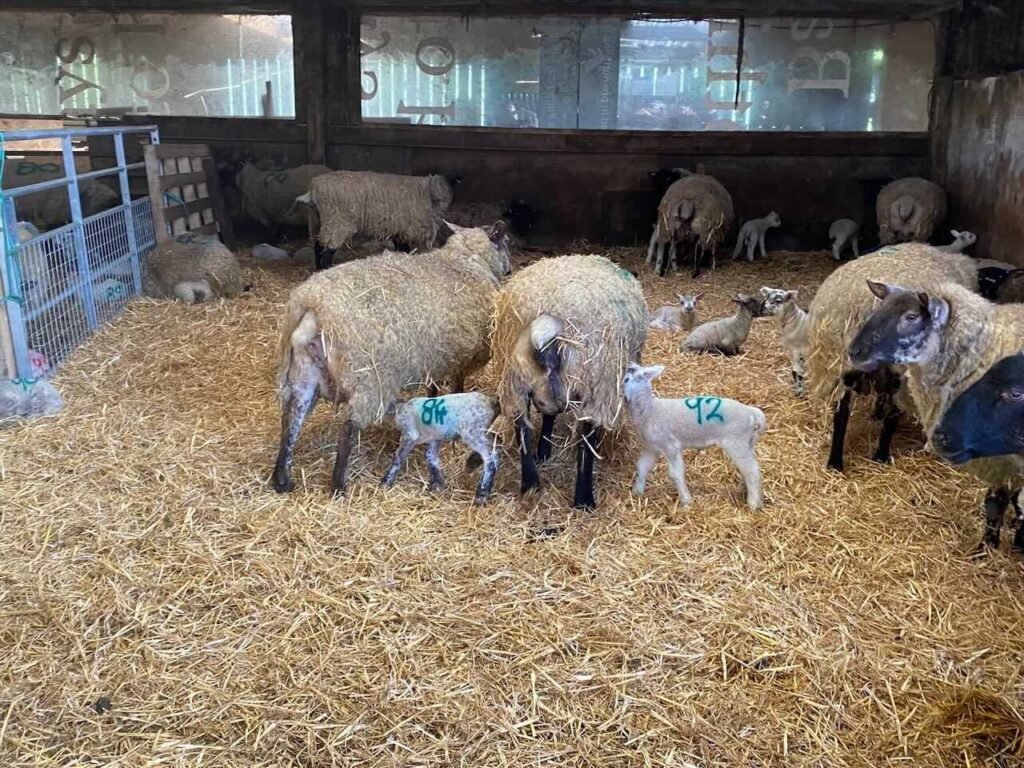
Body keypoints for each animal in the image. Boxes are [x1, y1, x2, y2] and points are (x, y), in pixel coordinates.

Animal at [271, 221, 511, 497]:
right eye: (506, 242)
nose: (510, 268)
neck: (466, 259)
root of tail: (310, 307)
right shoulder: (457, 358)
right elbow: (455, 390)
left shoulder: (434, 360)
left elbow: (433, 391)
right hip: (368, 379)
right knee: (348, 428)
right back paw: (339, 486)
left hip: (303, 376)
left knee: (290, 420)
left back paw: (282, 480)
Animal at [306, 170, 456, 270]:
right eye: (440, 199)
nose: (443, 208)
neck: (427, 193)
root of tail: (314, 188)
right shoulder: (415, 230)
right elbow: (409, 249)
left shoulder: (399, 229)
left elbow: (402, 249)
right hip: (336, 224)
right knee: (327, 251)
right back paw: (326, 269)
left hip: (317, 222)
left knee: (318, 247)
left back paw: (318, 270)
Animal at [491, 254, 647, 510]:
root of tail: (545, 325)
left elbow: (548, 416)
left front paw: (544, 450)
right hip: (596, 383)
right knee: (586, 439)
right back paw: (584, 499)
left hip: (515, 381)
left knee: (522, 427)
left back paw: (531, 484)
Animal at [623, 363, 766, 510]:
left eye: (626, 379)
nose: (629, 365)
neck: (649, 410)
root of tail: (751, 412)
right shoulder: (652, 448)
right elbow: (642, 467)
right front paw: (637, 492)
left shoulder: (670, 446)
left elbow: (676, 473)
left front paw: (686, 501)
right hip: (748, 442)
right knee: (748, 468)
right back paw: (744, 490)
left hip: (736, 441)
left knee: (752, 471)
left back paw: (754, 504)